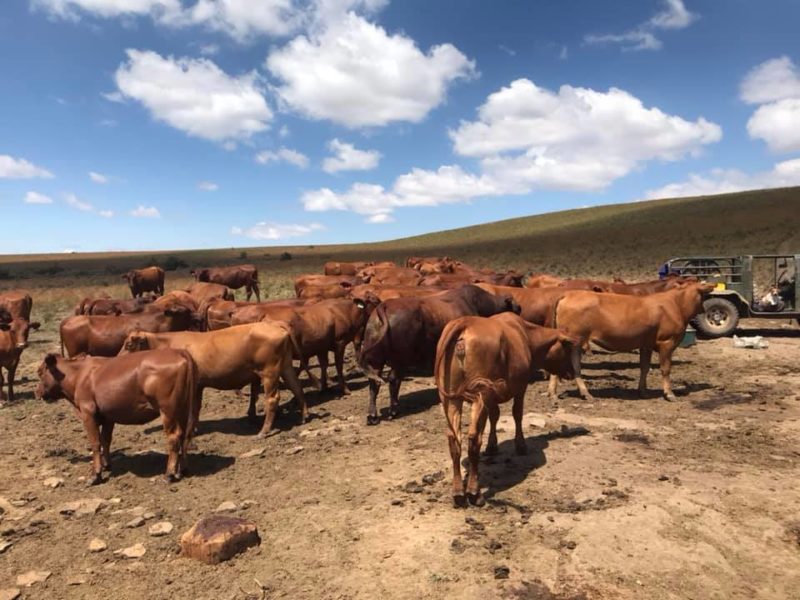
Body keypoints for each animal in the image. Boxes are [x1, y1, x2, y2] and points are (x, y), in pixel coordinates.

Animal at [34, 352, 198, 482]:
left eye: (40, 372)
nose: (37, 392)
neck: (79, 375)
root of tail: (178, 353)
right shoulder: (108, 417)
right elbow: (106, 440)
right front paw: (107, 465)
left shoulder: (88, 413)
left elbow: (95, 443)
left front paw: (96, 474)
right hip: (182, 410)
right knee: (184, 436)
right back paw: (181, 470)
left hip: (168, 411)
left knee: (174, 437)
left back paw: (169, 474)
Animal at [120, 324, 308, 436]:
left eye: (129, 344)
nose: (118, 359)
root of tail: (275, 324)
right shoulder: (198, 386)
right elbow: (195, 408)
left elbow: (192, 409)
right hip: (286, 367)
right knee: (297, 387)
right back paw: (304, 417)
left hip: (269, 372)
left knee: (272, 399)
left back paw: (264, 431)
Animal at [438, 314, 576, 506]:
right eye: (567, 349)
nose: (572, 373)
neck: (526, 335)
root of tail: (465, 321)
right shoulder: (520, 387)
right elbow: (517, 414)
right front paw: (521, 444)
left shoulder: (492, 397)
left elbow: (495, 416)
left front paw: (492, 445)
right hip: (480, 394)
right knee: (474, 438)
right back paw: (474, 492)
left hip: (452, 398)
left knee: (454, 439)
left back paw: (458, 492)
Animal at [548, 282, 716, 404]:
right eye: (704, 295)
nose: (706, 310)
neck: (676, 304)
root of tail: (568, 294)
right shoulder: (667, 342)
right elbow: (665, 369)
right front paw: (669, 393)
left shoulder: (646, 344)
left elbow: (644, 368)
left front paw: (643, 391)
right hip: (572, 338)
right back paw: (554, 394)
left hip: (576, 342)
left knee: (575, 364)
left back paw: (584, 393)